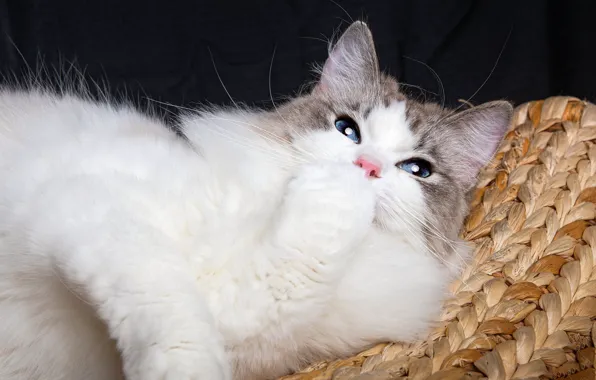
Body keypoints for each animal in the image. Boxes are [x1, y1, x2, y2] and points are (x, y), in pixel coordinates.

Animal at [0, 21, 512, 380]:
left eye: (417, 170)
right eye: (347, 129)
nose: (365, 166)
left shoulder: (258, 324)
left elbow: (282, 277)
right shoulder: (89, 211)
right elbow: (168, 308)